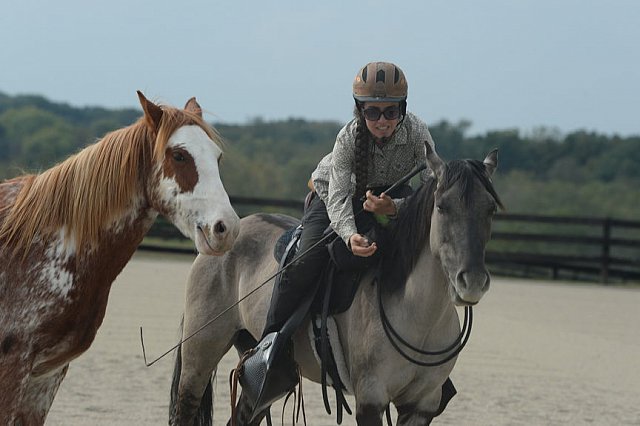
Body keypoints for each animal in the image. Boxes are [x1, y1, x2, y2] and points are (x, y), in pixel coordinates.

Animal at [168, 146, 502, 422]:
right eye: (442, 206)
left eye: (490, 209)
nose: (472, 282)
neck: (417, 315)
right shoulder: (371, 400)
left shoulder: (421, 406)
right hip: (200, 353)